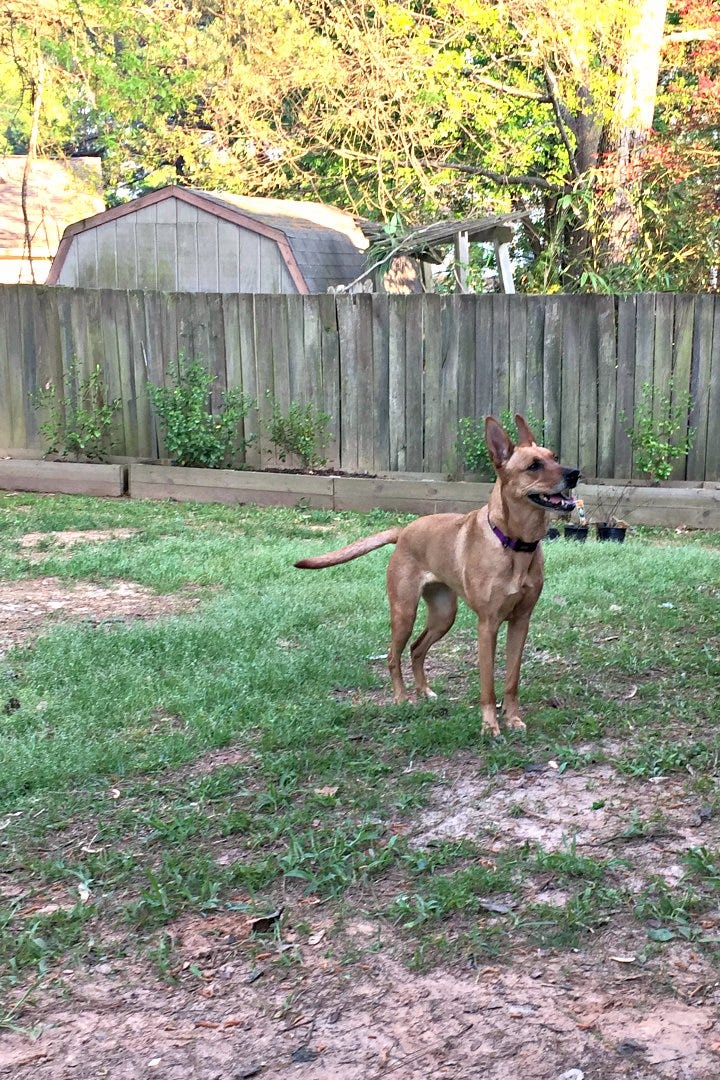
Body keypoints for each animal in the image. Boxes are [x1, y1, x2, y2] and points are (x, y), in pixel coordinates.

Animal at [293, 412, 578, 734]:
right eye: (533, 466)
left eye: (554, 457)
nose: (575, 473)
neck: (514, 544)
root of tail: (404, 532)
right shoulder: (487, 625)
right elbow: (488, 686)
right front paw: (490, 725)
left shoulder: (521, 621)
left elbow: (511, 680)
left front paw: (513, 718)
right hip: (404, 612)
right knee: (393, 655)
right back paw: (402, 697)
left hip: (444, 615)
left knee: (417, 649)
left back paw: (424, 690)